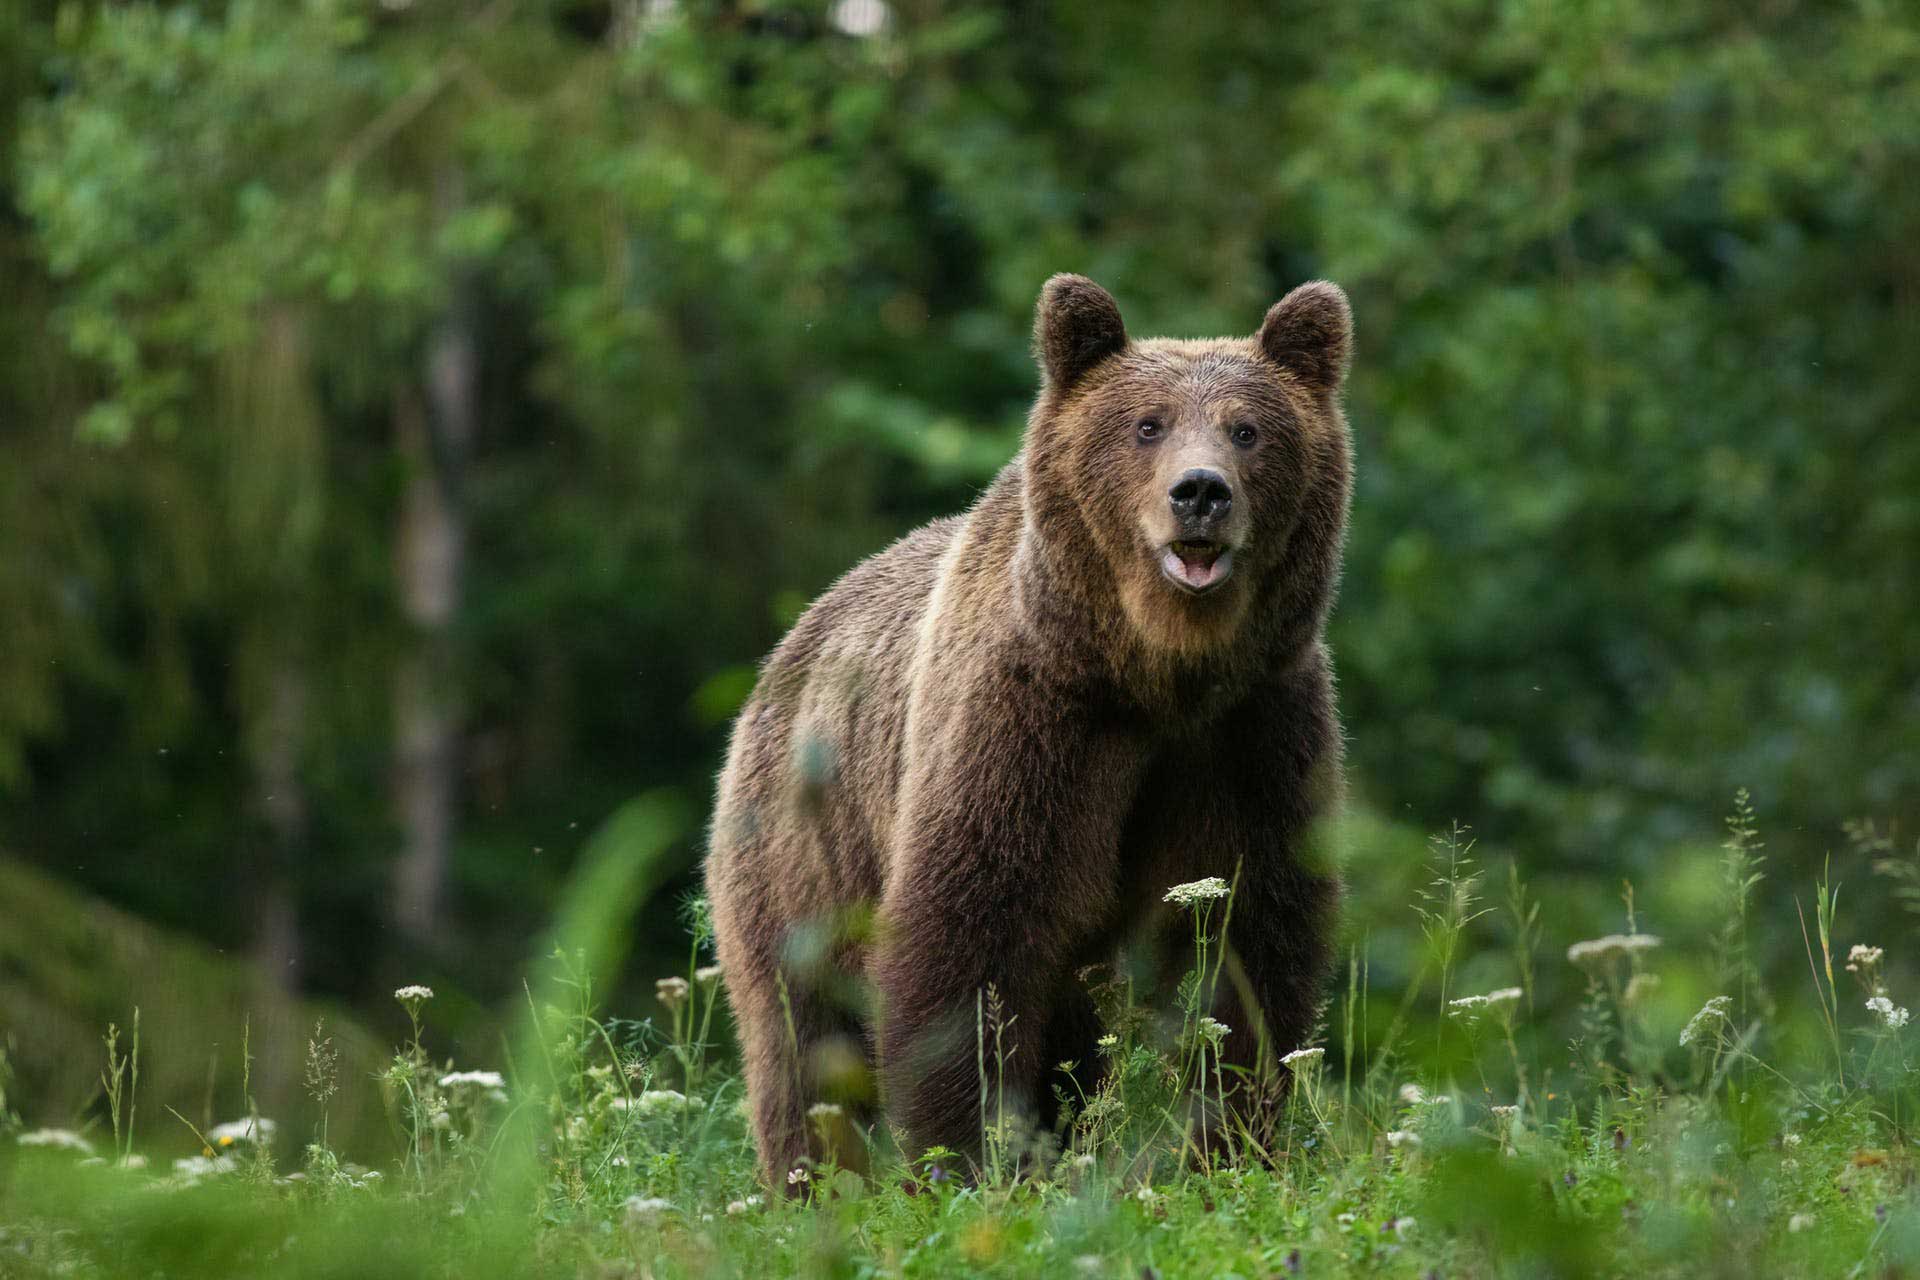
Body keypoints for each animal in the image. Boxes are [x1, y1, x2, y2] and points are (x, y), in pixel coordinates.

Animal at [706, 272, 1351, 1189]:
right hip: (801, 853)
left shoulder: (1250, 731)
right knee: (805, 1039)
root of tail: (786, 648)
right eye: (1147, 424)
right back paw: (817, 1182)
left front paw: (1226, 1145)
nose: (1201, 492)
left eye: (1248, 429)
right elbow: (973, 932)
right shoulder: (1031, 722)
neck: (1154, 673)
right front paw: (970, 1156)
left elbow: (1247, 937)